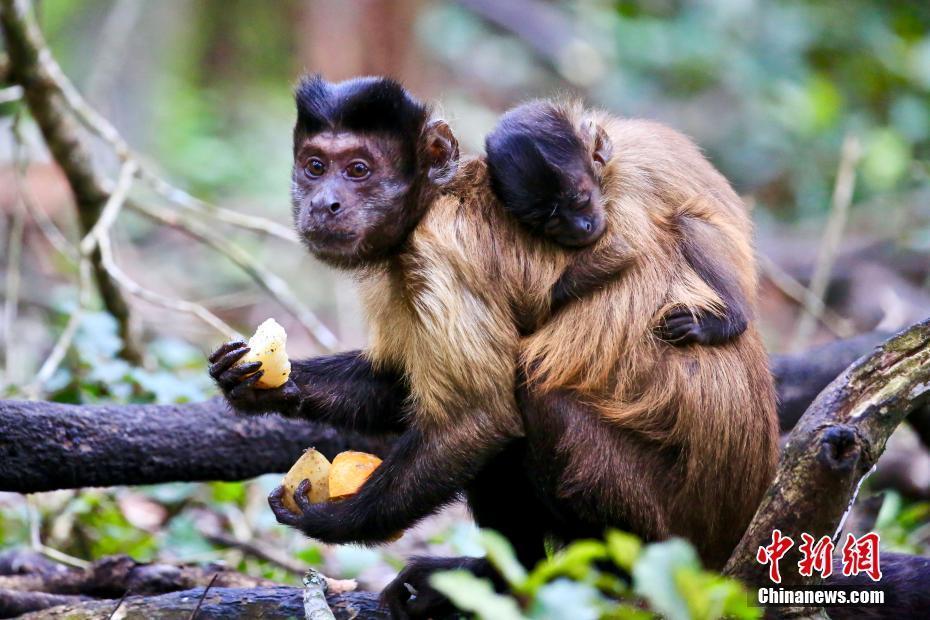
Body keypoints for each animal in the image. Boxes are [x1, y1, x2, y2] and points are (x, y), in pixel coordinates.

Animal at [486, 101, 748, 344]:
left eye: (580, 201)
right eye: (551, 223)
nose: (581, 228)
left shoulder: (627, 183)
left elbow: (626, 246)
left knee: (688, 224)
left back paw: (731, 322)